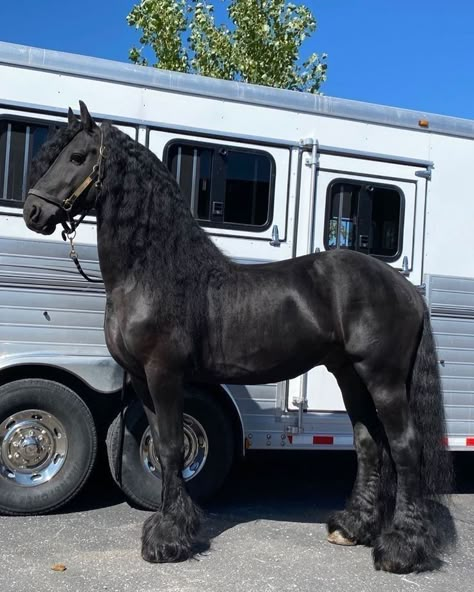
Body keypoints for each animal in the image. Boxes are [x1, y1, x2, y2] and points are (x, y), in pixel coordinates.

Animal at [24, 102, 454, 572]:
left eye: (77, 157)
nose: (32, 212)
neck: (153, 273)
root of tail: (406, 289)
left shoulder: (164, 374)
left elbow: (172, 447)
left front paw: (168, 538)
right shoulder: (140, 378)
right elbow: (160, 446)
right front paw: (171, 526)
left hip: (384, 379)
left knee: (405, 446)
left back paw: (402, 548)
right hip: (350, 376)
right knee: (368, 443)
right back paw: (353, 527)